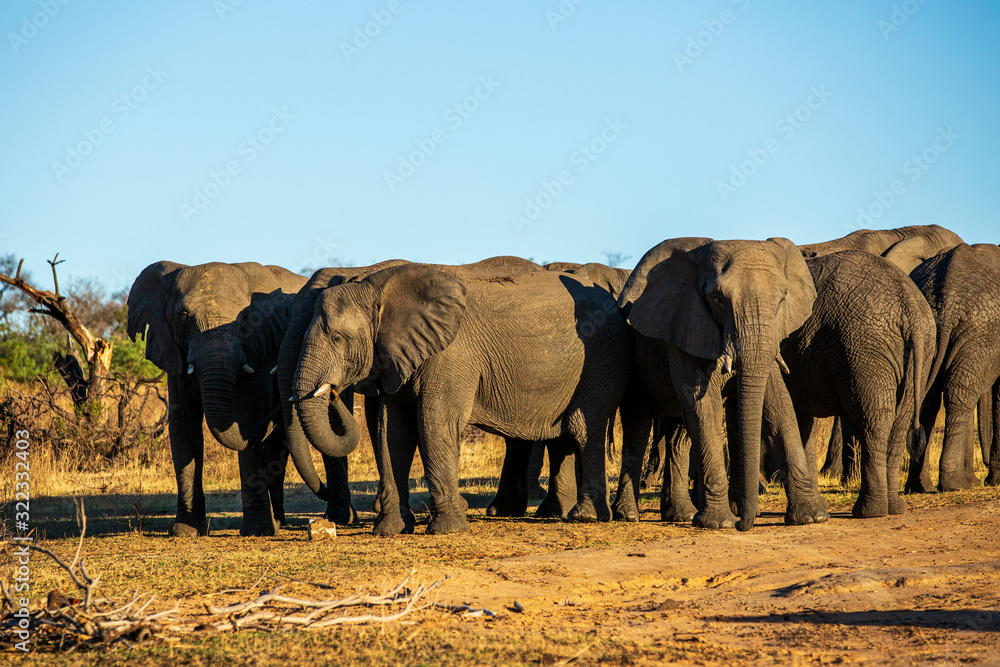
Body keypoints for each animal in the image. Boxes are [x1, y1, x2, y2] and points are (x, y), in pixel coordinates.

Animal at [127, 261, 306, 536]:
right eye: (184, 318)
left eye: (246, 318)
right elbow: (183, 426)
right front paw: (185, 531)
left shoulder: (260, 345)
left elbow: (249, 415)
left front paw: (257, 531)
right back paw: (278, 522)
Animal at [288, 262, 630, 535]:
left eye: (337, 339)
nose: (332, 391)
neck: (378, 290)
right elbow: (392, 432)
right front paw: (389, 531)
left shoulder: (450, 354)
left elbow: (434, 423)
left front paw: (446, 530)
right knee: (563, 434)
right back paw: (560, 514)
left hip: (603, 357)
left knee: (583, 428)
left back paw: (586, 517)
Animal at [611, 237, 828, 532]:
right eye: (717, 299)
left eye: (782, 299)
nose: (743, 524)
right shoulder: (686, 322)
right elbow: (704, 404)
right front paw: (719, 523)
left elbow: (778, 404)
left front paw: (812, 517)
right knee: (638, 423)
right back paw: (628, 515)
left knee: (678, 433)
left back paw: (681, 515)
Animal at [905, 244, 1000, 493]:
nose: (986, 463)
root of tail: (946, 300)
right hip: (980, 329)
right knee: (960, 392)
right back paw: (956, 484)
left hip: (927, 330)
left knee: (926, 401)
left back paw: (919, 486)